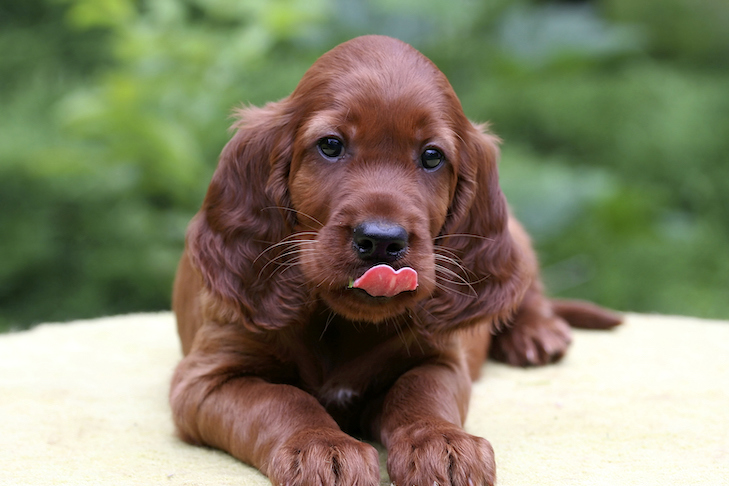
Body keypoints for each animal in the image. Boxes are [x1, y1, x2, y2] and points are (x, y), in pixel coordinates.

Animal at [171, 35, 620, 486]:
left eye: (432, 156)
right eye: (330, 145)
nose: (381, 243)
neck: (342, 322)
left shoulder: (441, 360)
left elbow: (419, 393)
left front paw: (441, 442)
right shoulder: (207, 378)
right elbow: (280, 399)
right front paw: (321, 447)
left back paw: (536, 332)